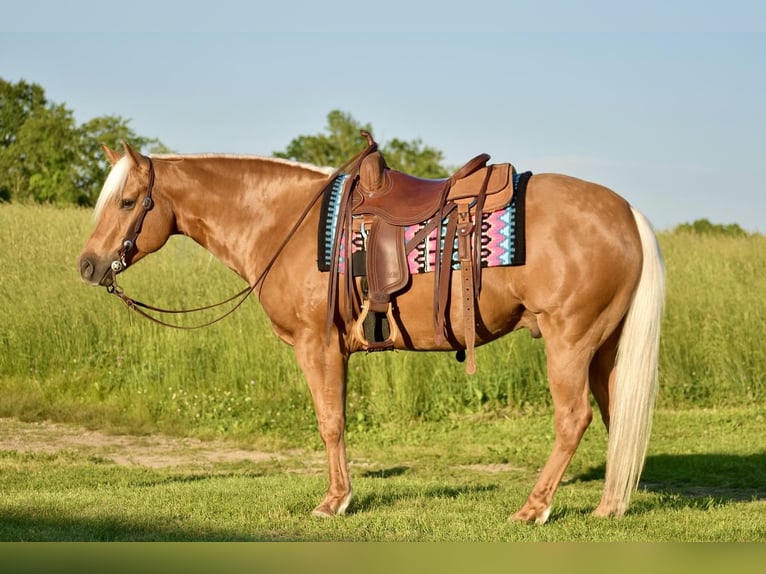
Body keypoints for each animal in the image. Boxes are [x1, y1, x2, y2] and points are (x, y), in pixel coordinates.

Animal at [78, 141, 664, 528]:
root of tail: (628, 214)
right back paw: (609, 506)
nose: (88, 265)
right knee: (615, 414)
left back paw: (534, 508)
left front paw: (334, 500)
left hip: (571, 342)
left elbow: (330, 422)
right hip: (604, 348)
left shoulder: (317, 345)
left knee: (574, 419)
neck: (285, 222)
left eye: (127, 202)